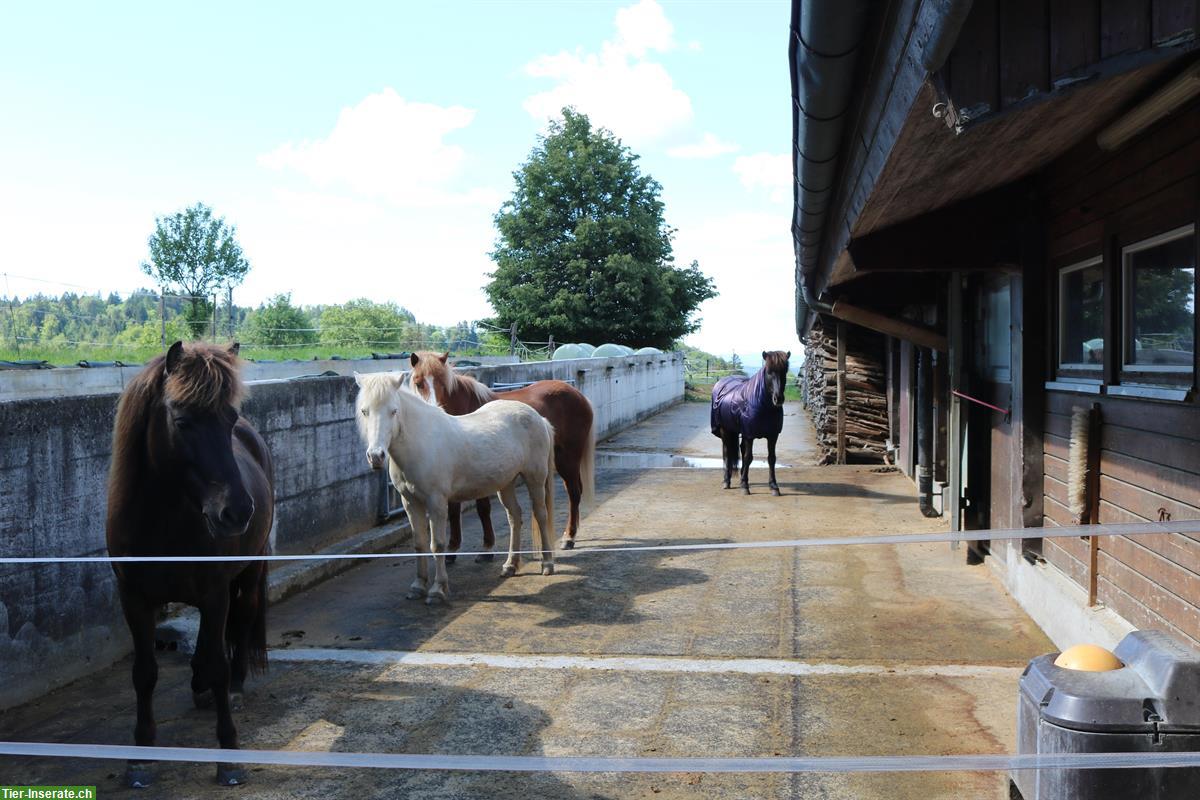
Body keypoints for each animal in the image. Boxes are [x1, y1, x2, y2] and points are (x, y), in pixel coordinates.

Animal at [106, 340, 274, 786]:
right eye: (181, 421)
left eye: (228, 418)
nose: (237, 512)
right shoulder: (134, 599)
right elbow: (144, 672)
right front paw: (141, 755)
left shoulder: (214, 593)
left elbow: (218, 662)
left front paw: (228, 754)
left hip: (248, 574)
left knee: (242, 621)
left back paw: (234, 687)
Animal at [352, 371, 554, 604]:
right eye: (364, 411)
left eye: (393, 411)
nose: (376, 456)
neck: (421, 443)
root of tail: (538, 417)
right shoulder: (410, 502)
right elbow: (419, 543)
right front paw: (418, 586)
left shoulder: (436, 502)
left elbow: (437, 544)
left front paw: (438, 589)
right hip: (506, 483)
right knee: (515, 517)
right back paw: (510, 565)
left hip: (535, 478)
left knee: (540, 514)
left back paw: (547, 564)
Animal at [408, 352, 595, 554]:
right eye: (418, 383)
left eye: (443, 383)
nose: (435, 410)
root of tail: (578, 395)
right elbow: (453, 510)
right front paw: (452, 549)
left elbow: (482, 507)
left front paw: (487, 547)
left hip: (567, 458)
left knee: (574, 493)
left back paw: (569, 537)